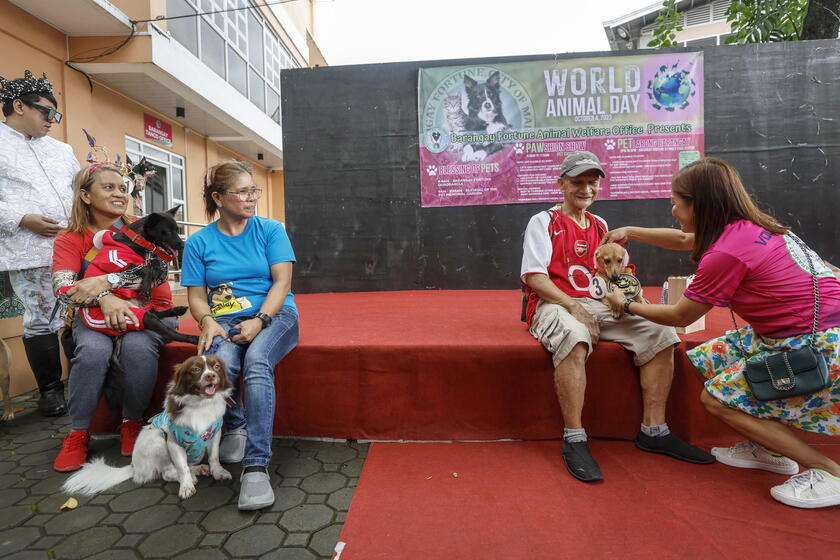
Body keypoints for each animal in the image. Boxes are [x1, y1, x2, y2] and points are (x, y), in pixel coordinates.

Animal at [62, 354, 233, 498]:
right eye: (196, 369)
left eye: (216, 366)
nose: (211, 375)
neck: (201, 405)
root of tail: (134, 467)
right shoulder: (173, 441)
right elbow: (181, 467)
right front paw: (186, 486)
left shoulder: (214, 434)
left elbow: (214, 456)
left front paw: (219, 472)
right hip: (157, 440)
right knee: (167, 472)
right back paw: (191, 476)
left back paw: (199, 469)